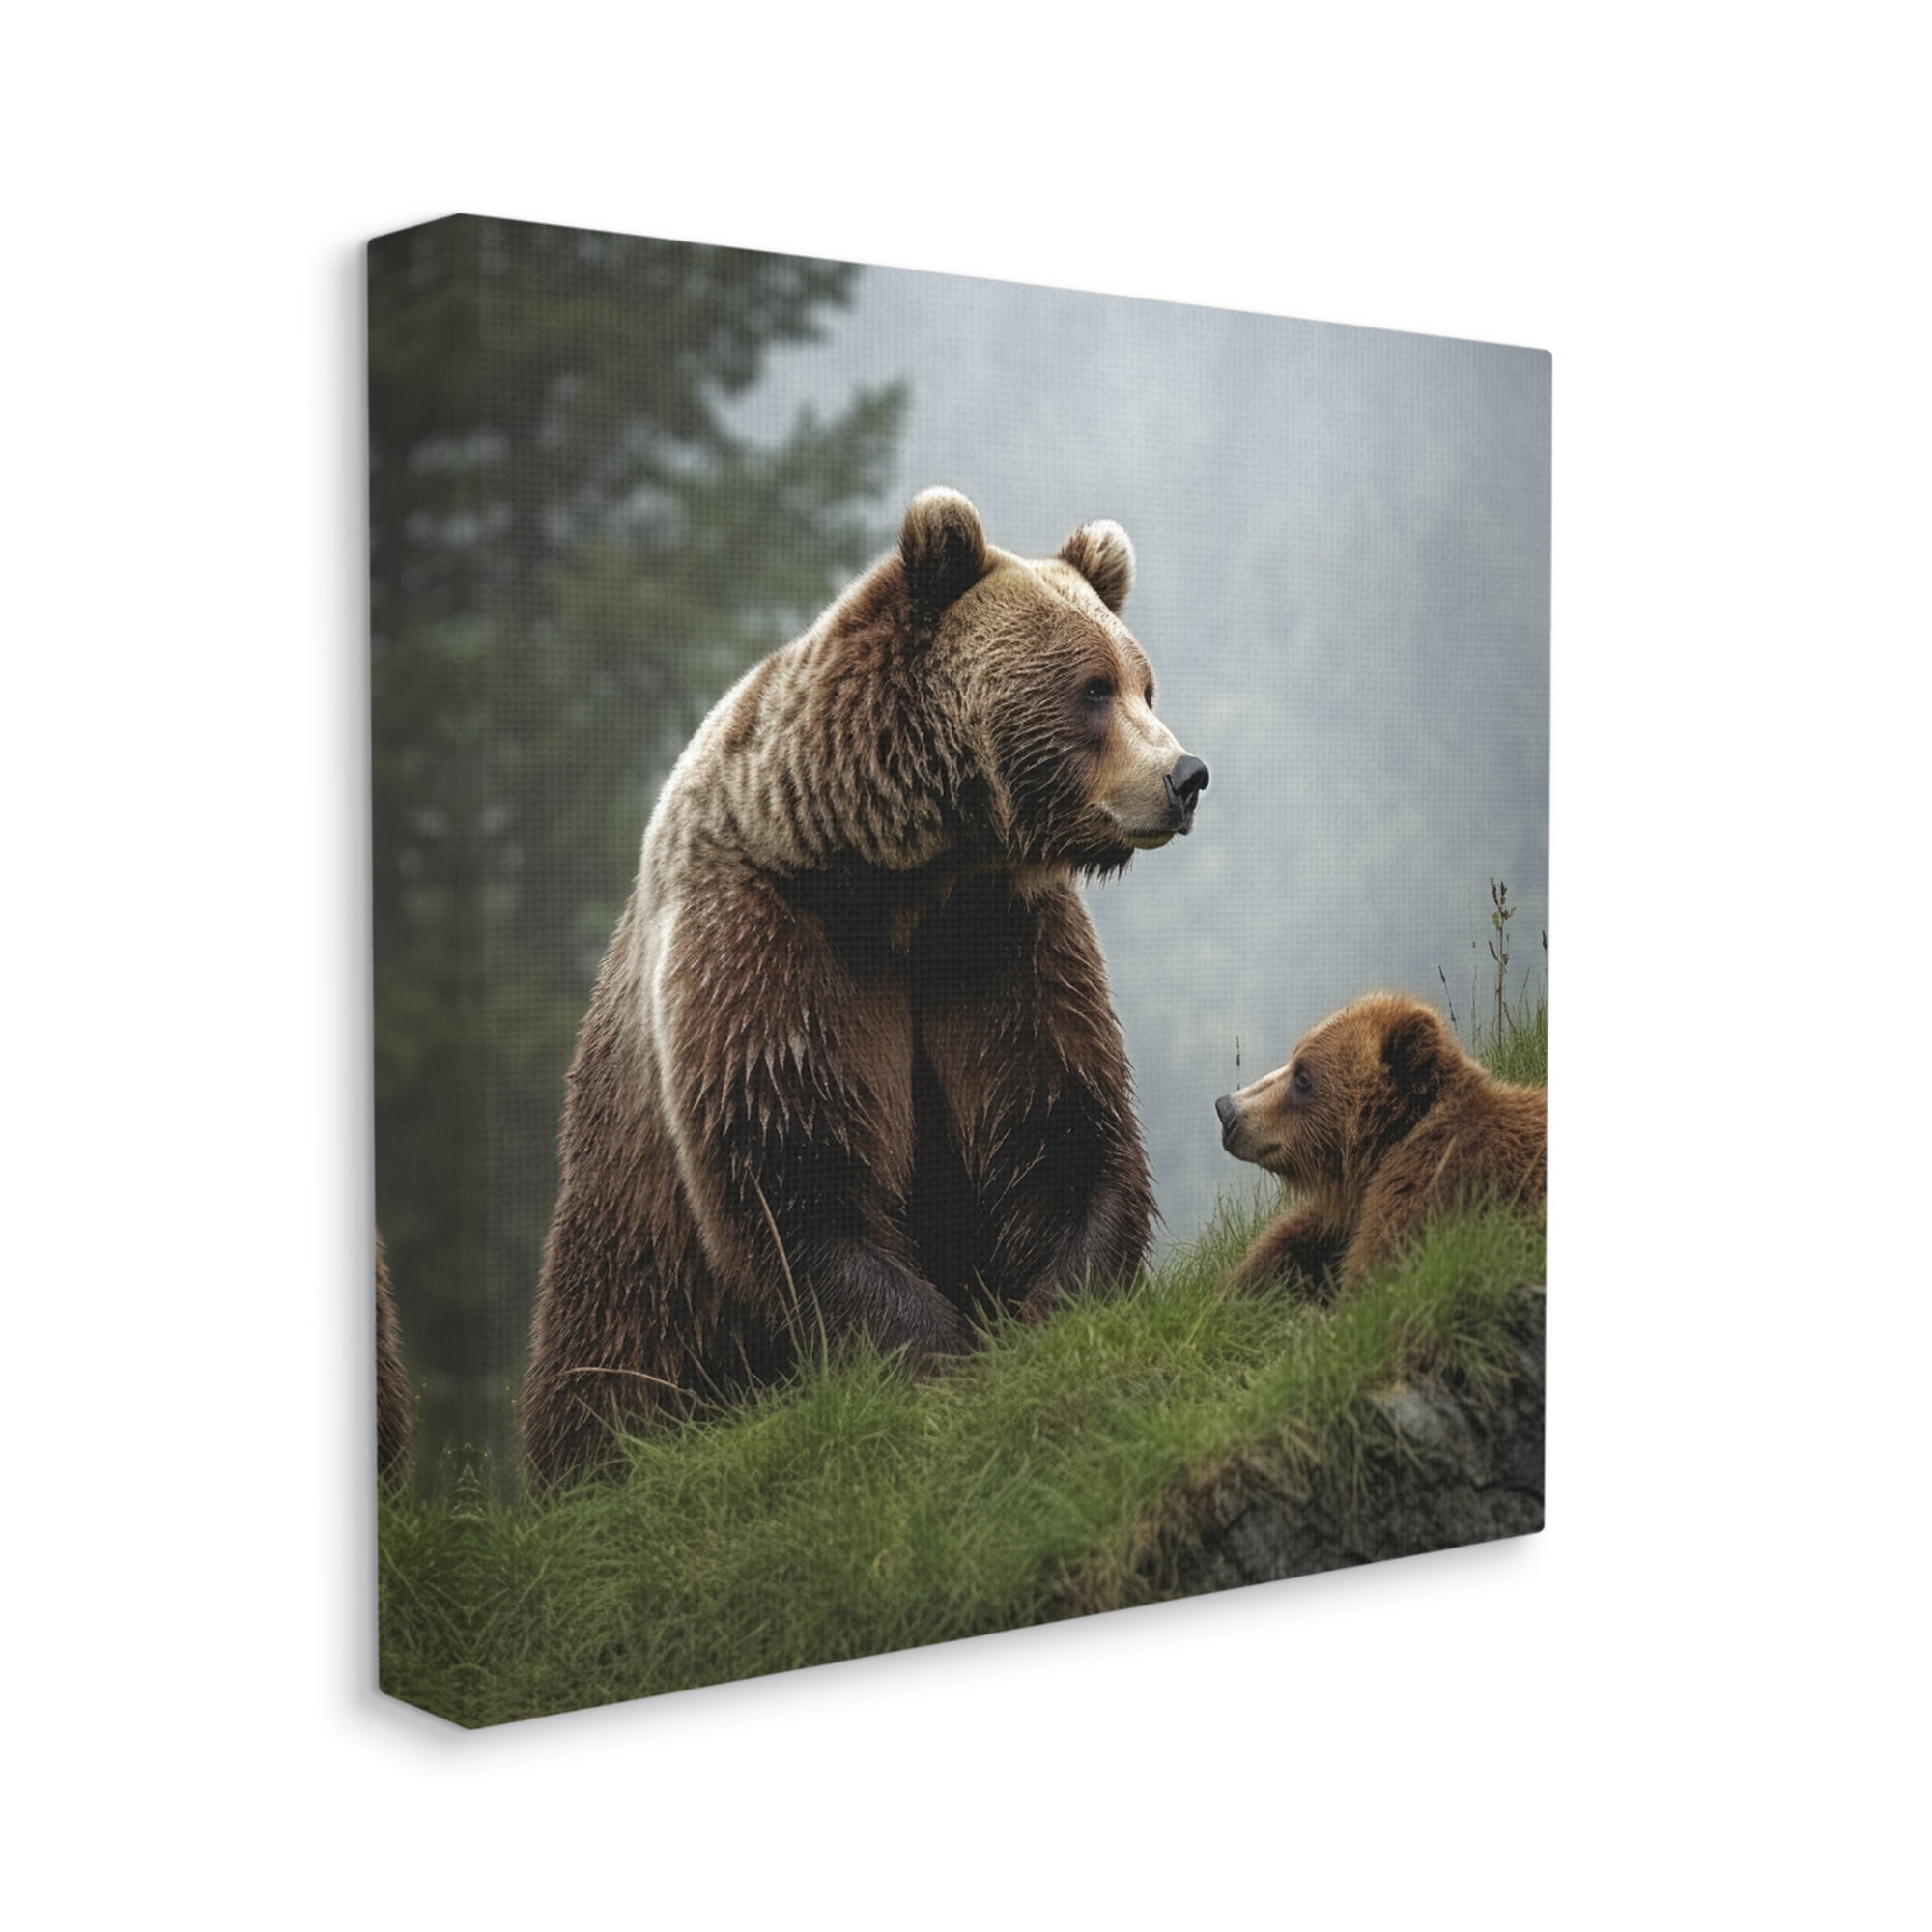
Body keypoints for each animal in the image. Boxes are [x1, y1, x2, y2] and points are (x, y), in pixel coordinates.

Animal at [520, 488, 1209, 1482]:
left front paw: (1053, 1320)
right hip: (626, 1272)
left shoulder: (999, 941)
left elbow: (1057, 1123)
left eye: (1143, 683)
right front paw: (945, 1360)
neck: (902, 874)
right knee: (613, 1372)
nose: (1185, 776)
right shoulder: (771, 935)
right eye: (1092, 688)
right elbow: (796, 1172)